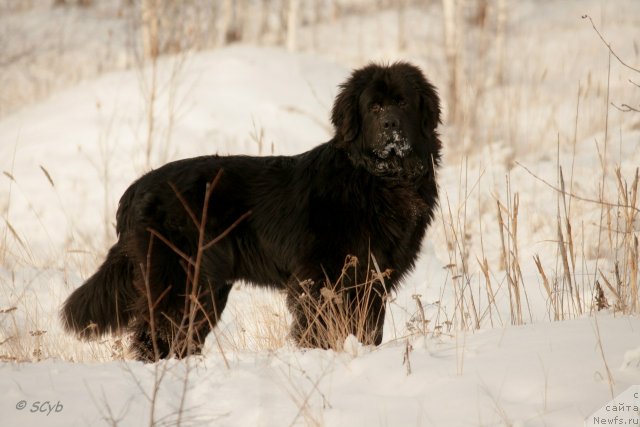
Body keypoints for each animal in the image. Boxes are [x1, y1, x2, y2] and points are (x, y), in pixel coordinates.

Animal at [61, 62, 440, 362]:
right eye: (374, 106)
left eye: (402, 102)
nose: (391, 125)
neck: (380, 180)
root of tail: (136, 188)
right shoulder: (322, 275)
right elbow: (319, 326)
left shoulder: (374, 278)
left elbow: (368, 329)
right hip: (178, 277)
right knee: (157, 332)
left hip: (206, 287)